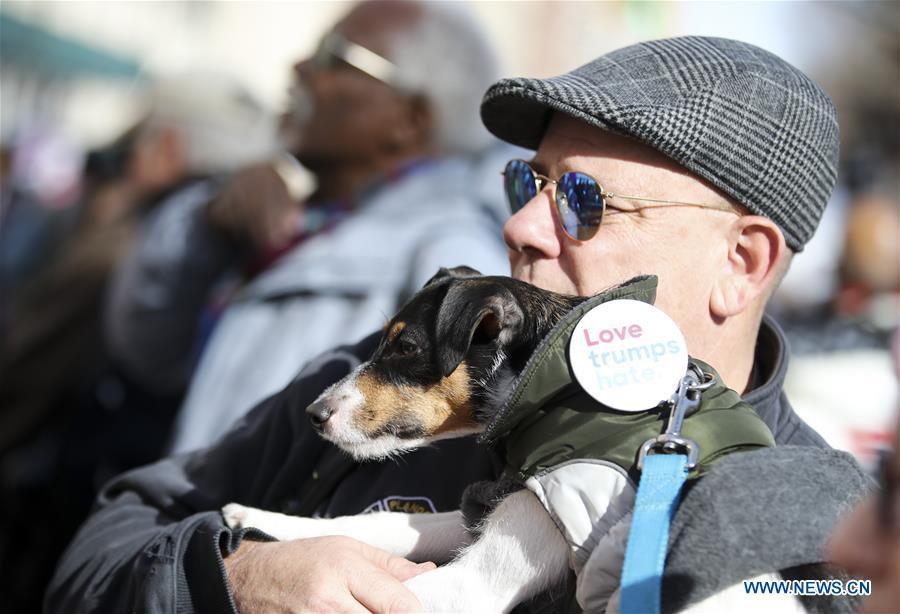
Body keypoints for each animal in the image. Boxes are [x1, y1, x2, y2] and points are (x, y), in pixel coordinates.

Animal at [222, 268, 624, 612]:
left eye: (406, 348)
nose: (314, 413)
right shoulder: (479, 511)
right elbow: (377, 523)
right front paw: (259, 518)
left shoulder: (472, 584)